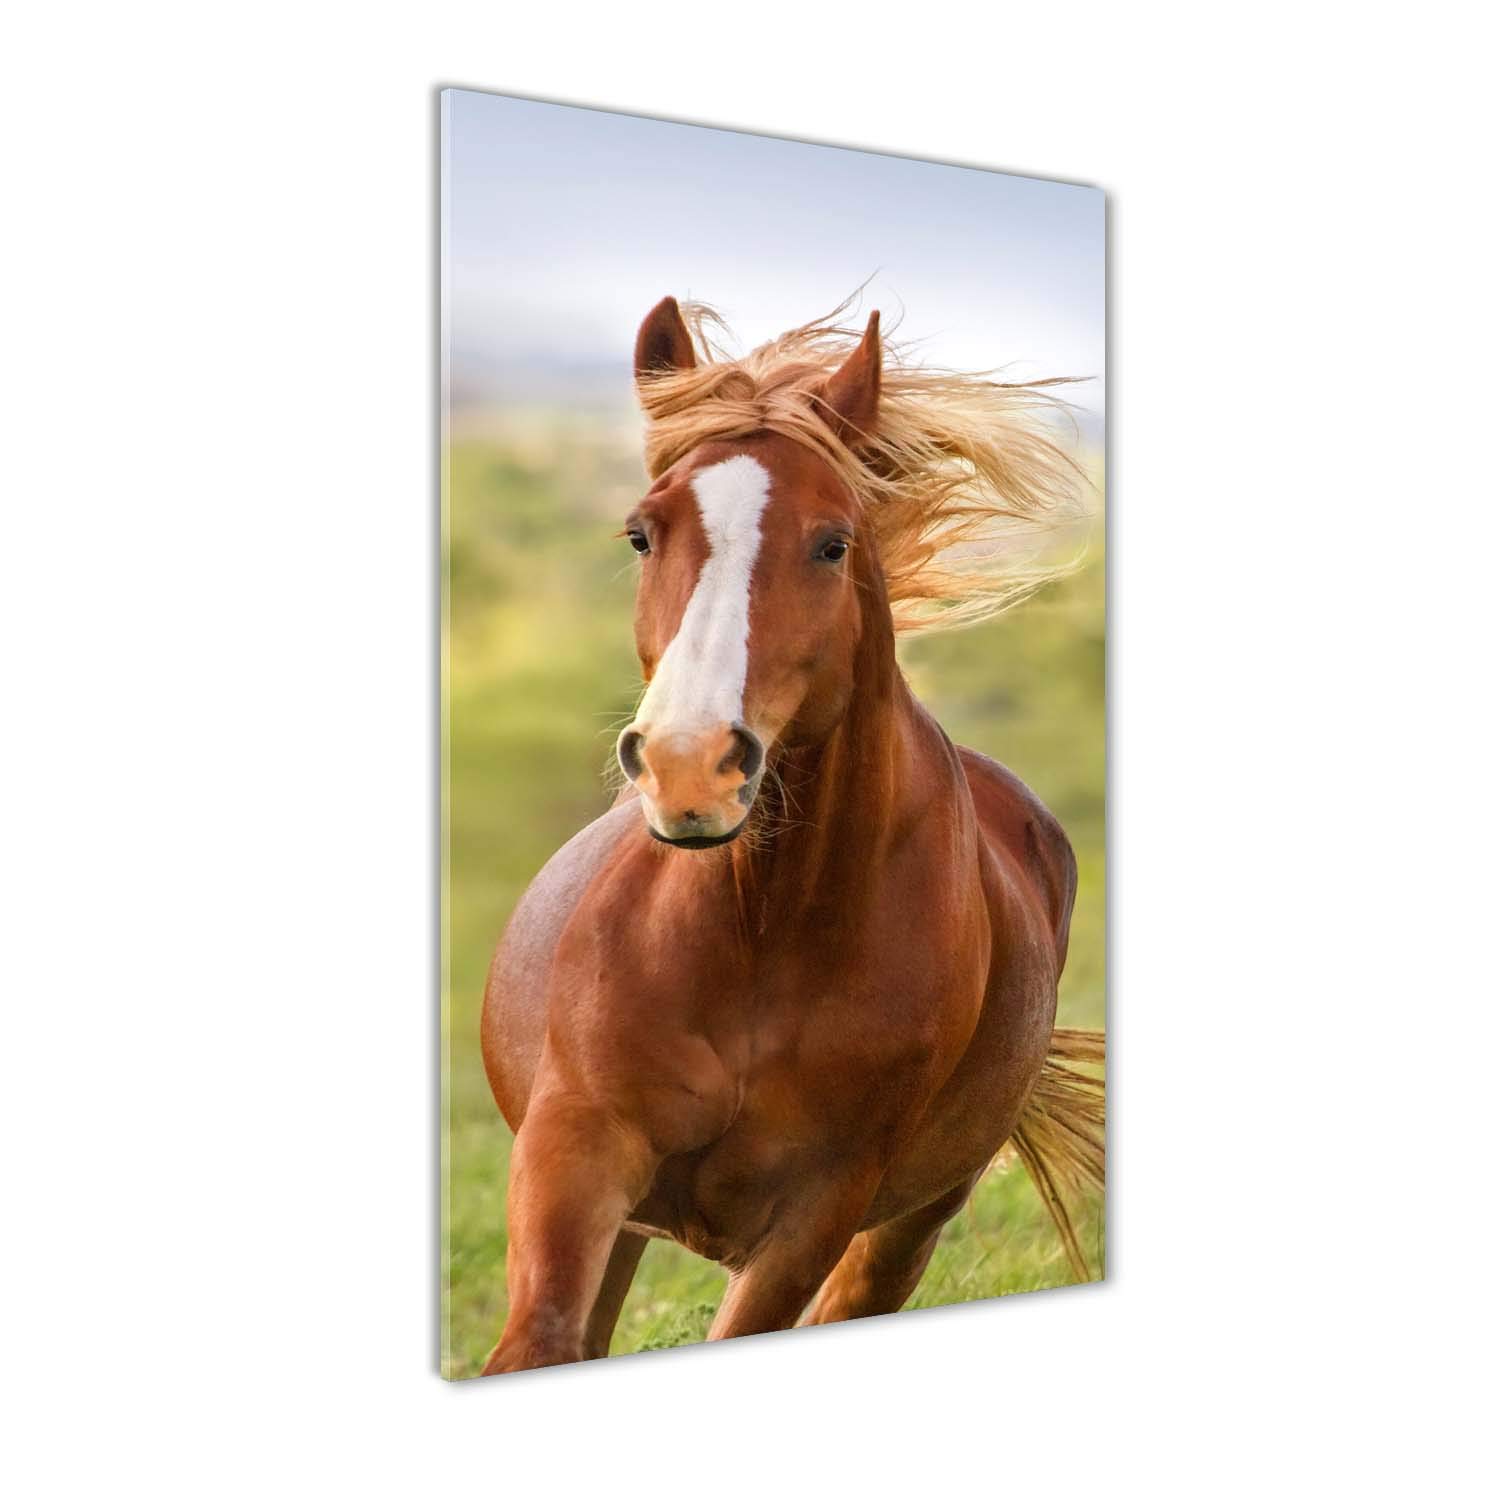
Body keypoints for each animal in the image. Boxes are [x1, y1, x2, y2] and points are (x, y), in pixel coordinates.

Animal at [478, 296, 1104, 1374]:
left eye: (832, 543)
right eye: (641, 535)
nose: (691, 766)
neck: (761, 934)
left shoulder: (815, 1218)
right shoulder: (574, 1159)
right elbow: (541, 1338)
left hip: (907, 1228)